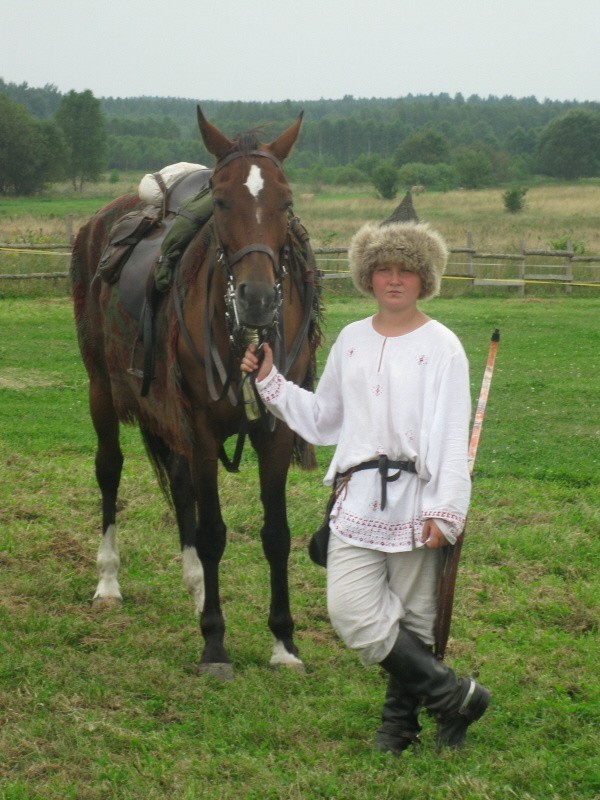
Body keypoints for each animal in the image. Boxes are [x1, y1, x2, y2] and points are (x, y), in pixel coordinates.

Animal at [70, 106, 322, 680]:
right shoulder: (203, 429)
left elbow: (276, 534)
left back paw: (198, 588)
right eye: (221, 200)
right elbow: (213, 533)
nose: (257, 299)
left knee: (181, 486)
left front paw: (284, 644)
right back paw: (109, 581)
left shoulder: (275, 432)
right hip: (103, 390)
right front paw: (214, 644)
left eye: (286, 201)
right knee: (109, 471)